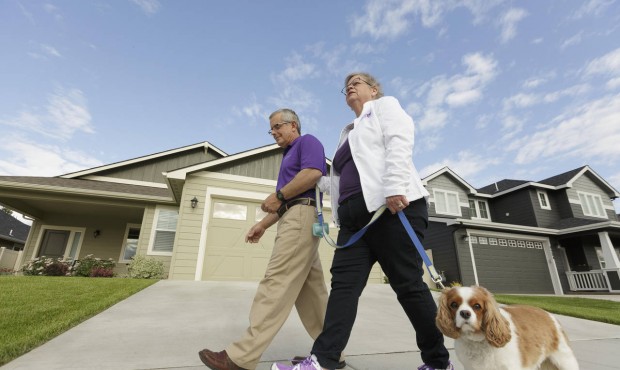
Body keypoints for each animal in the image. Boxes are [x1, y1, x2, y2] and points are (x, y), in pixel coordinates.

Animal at [434, 284, 580, 368]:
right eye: (453, 305)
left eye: (477, 306)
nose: (464, 313)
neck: (478, 341)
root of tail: (548, 314)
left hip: (564, 360)